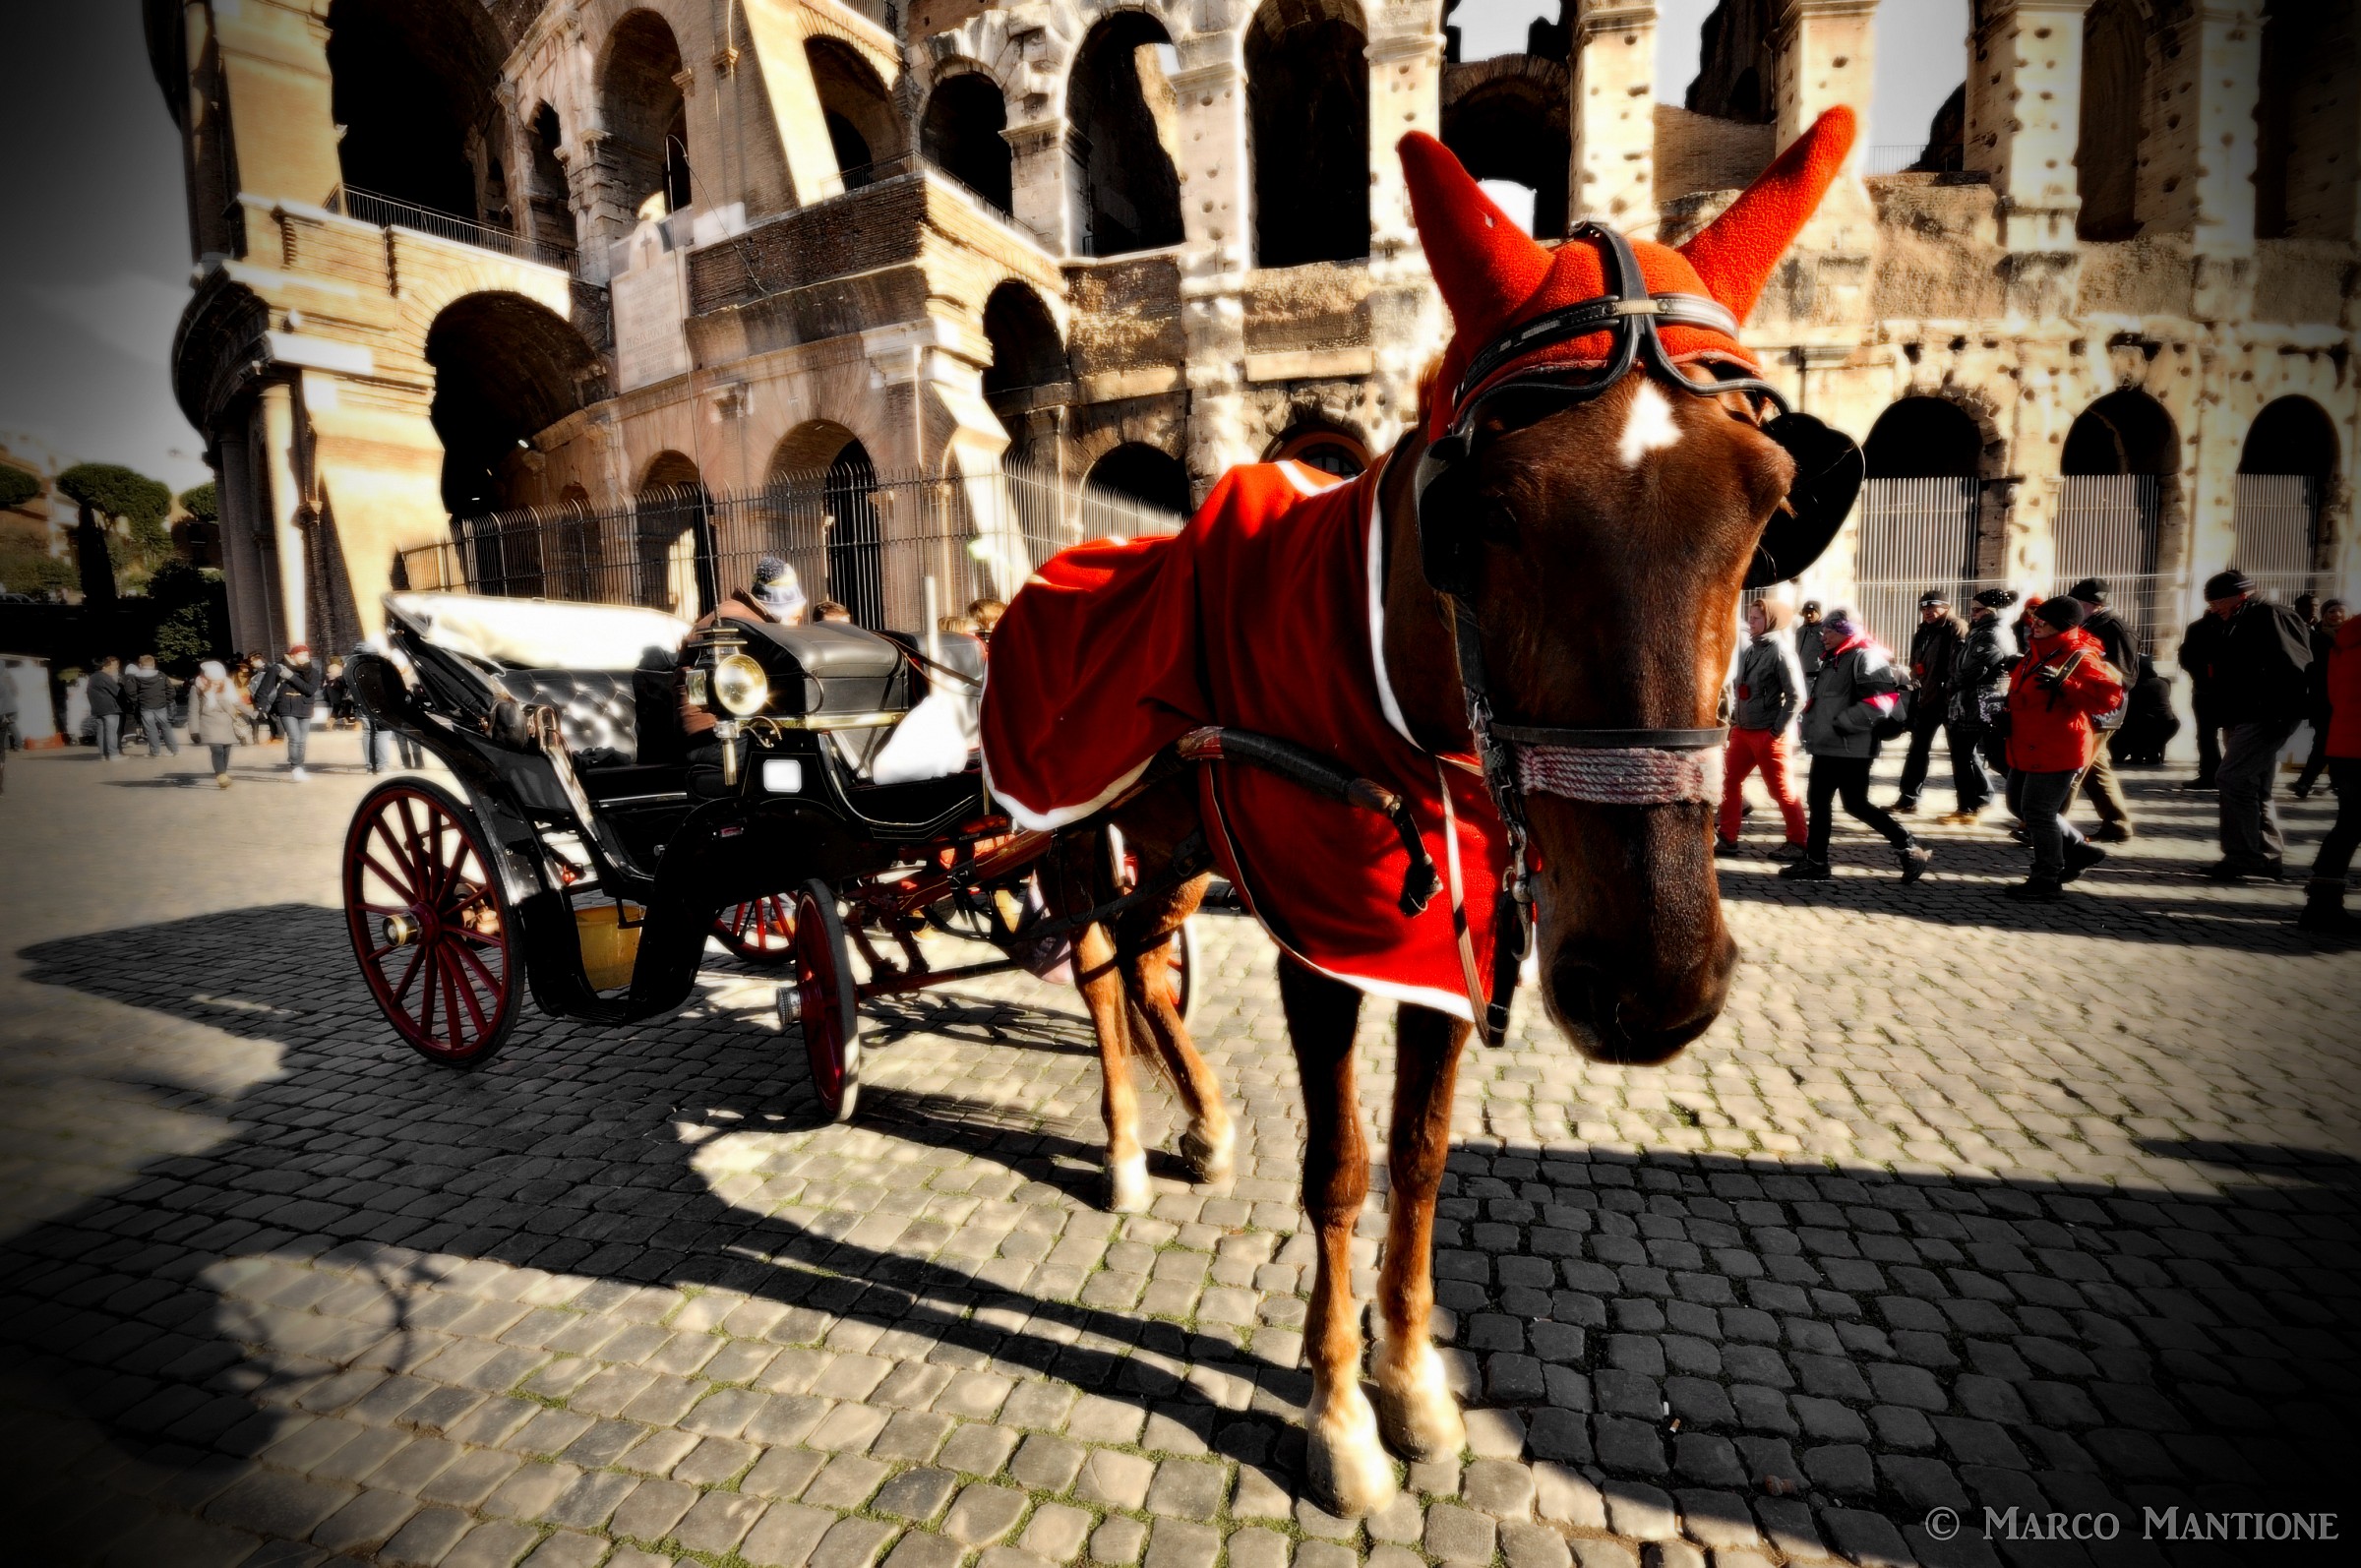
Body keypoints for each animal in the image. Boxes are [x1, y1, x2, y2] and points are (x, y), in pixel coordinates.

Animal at [1003, 110, 1862, 1517]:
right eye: (1487, 512)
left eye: (1770, 504)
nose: (1652, 983)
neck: (1392, 691)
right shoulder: (1319, 943)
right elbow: (1342, 1165)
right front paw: (1341, 1412)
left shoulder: (1453, 944)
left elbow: (1420, 1154)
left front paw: (1410, 1382)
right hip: (1077, 827)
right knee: (1094, 959)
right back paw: (1128, 1145)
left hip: (1179, 843)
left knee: (1145, 956)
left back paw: (1201, 1119)